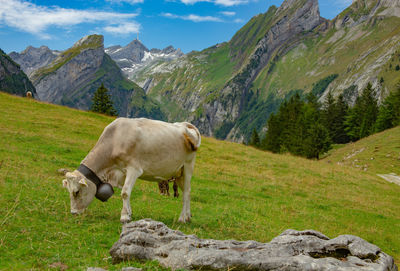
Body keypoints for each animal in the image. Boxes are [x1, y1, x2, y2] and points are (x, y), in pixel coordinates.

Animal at [61, 118, 202, 224]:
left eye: (76, 192)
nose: (74, 213)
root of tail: (184, 125)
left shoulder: (134, 169)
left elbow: (125, 192)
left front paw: (124, 217)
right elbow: (127, 192)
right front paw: (129, 213)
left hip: (188, 166)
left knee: (186, 193)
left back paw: (182, 218)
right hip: (178, 173)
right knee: (187, 192)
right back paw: (188, 216)